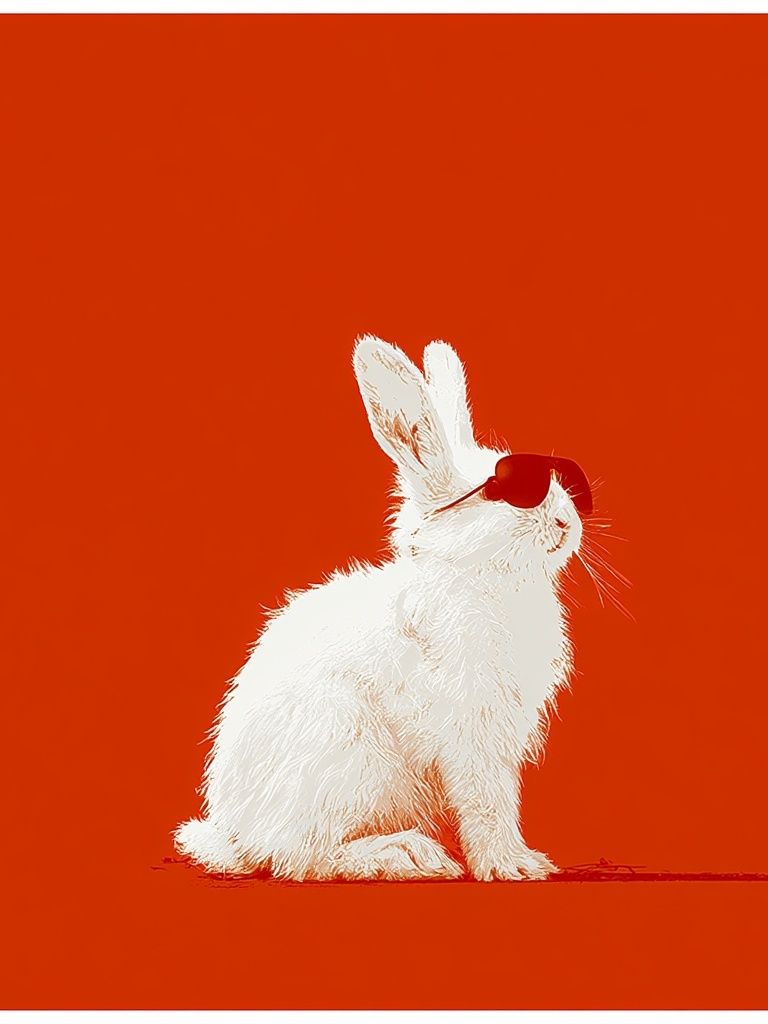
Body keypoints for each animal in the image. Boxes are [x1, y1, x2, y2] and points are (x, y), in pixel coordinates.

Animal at [174, 335, 584, 881]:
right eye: (505, 493)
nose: (565, 523)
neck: (479, 575)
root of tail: (235, 836)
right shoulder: (471, 731)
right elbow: (485, 801)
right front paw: (511, 866)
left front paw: (521, 861)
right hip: (343, 758)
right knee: (302, 856)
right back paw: (408, 854)